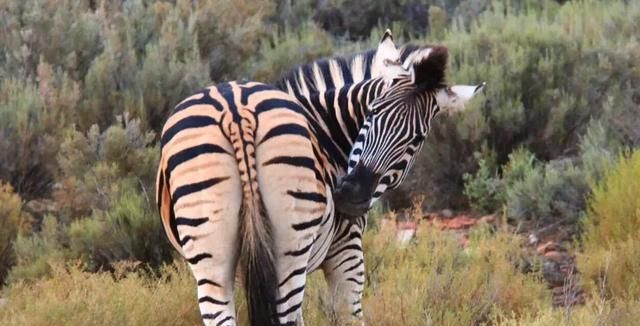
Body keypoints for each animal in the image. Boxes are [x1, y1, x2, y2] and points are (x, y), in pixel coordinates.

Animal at [156, 31, 484, 326]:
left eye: (416, 140)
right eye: (371, 114)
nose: (351, 195)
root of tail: (238, 113)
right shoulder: (346, 247)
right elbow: (349, 315)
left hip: (212, 257)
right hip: (288, 251)